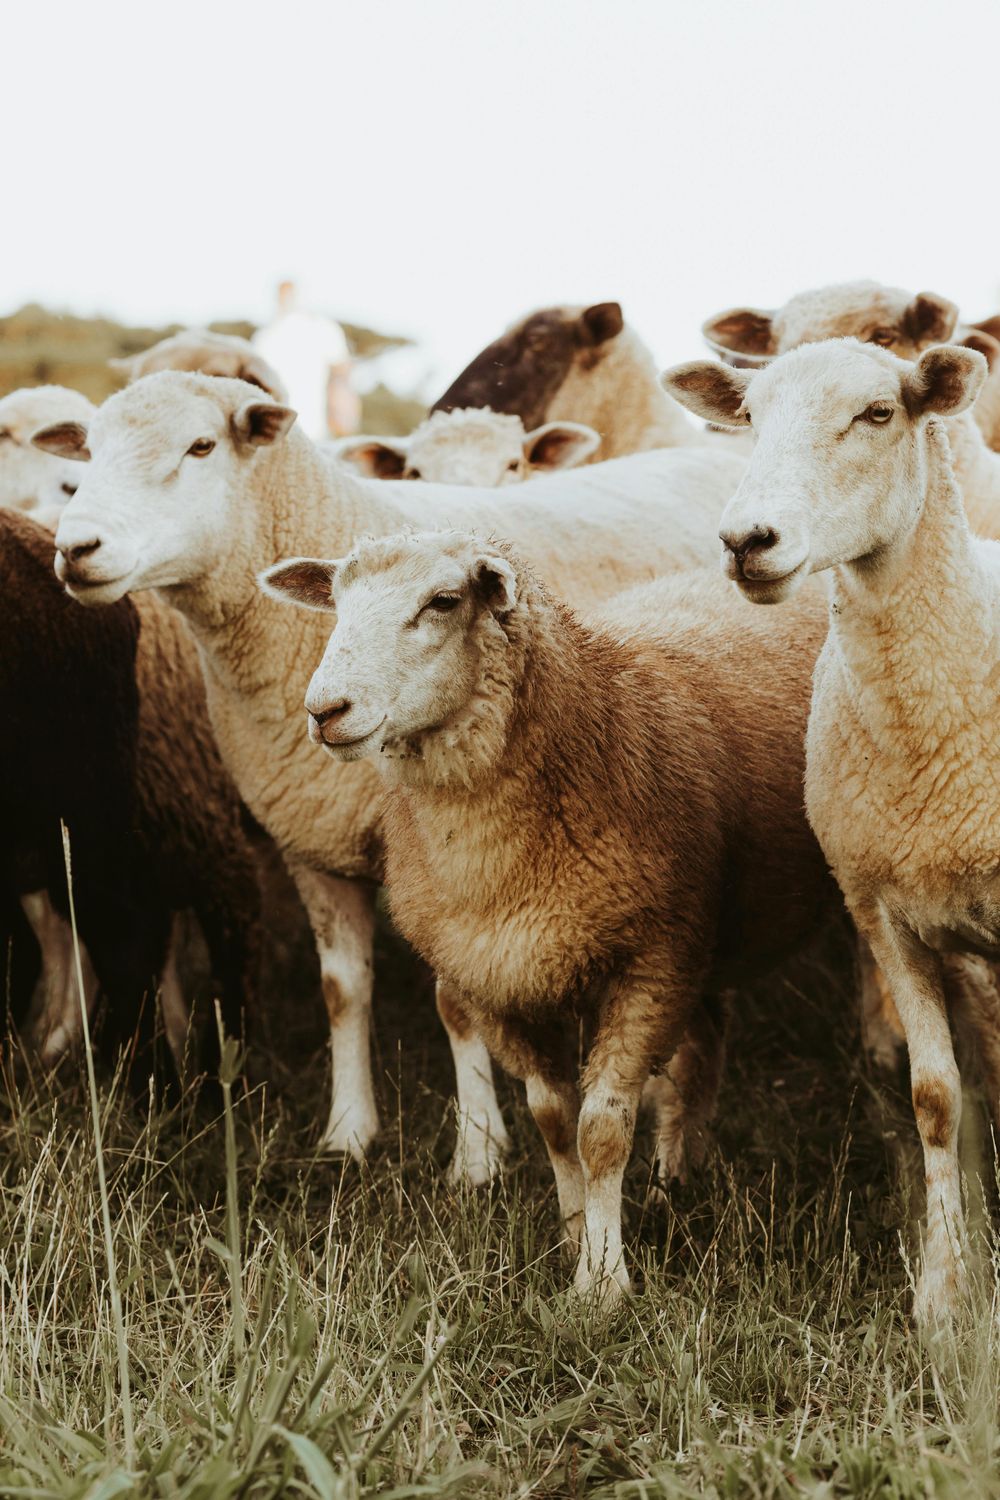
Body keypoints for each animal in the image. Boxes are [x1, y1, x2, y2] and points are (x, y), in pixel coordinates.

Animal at [259, 531, 833, 1303]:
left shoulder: (648, 965)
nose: (325, 709)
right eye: (337, 601)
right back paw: (677, 1173)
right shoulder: (500, 979)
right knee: (703, 1046)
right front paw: (573, 1235)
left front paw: (603, 1285)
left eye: (444, 601)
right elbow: (555, 1122)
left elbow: (601, 1131)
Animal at [664, 336, 1000, 1326]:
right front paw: (944, 1292)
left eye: (879, 413)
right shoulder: (882, 911)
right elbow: (936, 1099)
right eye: (751, 416)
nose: (746, 541)